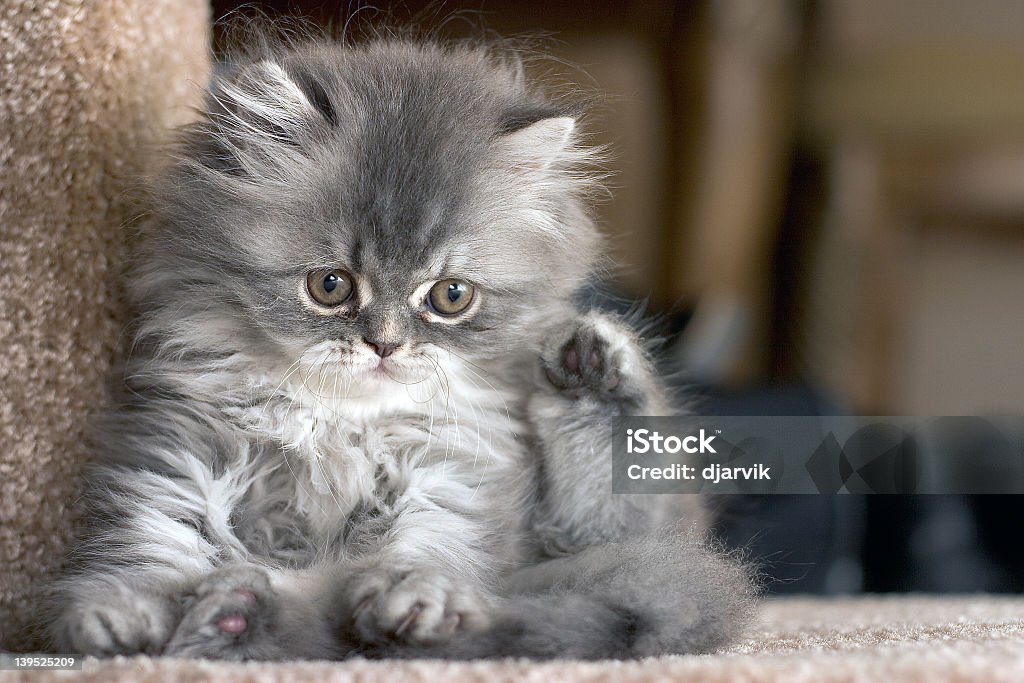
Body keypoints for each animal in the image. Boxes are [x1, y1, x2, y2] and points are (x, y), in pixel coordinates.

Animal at [48, 36, 753, 663]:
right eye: (331, 286)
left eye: (450, 296)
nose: (384, 344)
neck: (338, 423)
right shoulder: (182, 455)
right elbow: (152, 545)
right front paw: (120, 614)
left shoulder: (449, 472)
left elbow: (422, 546)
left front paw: (414, 599)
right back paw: (238, 614)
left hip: (602, 541)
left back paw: (591, 368)